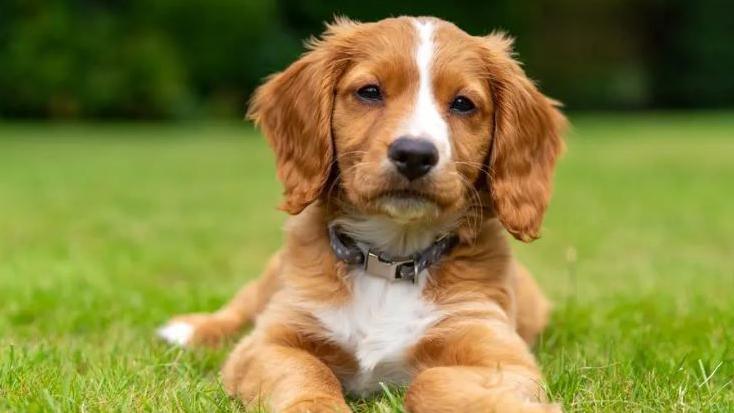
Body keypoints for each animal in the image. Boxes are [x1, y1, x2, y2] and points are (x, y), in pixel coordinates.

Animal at [158, 14, 568, 410]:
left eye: (463, 103)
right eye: (369, 92)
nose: (414, 154)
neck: (390, 259)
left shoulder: (500, 353)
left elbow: (427, 383)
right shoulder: (267, 342)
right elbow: (307, 373)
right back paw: (188, 330)